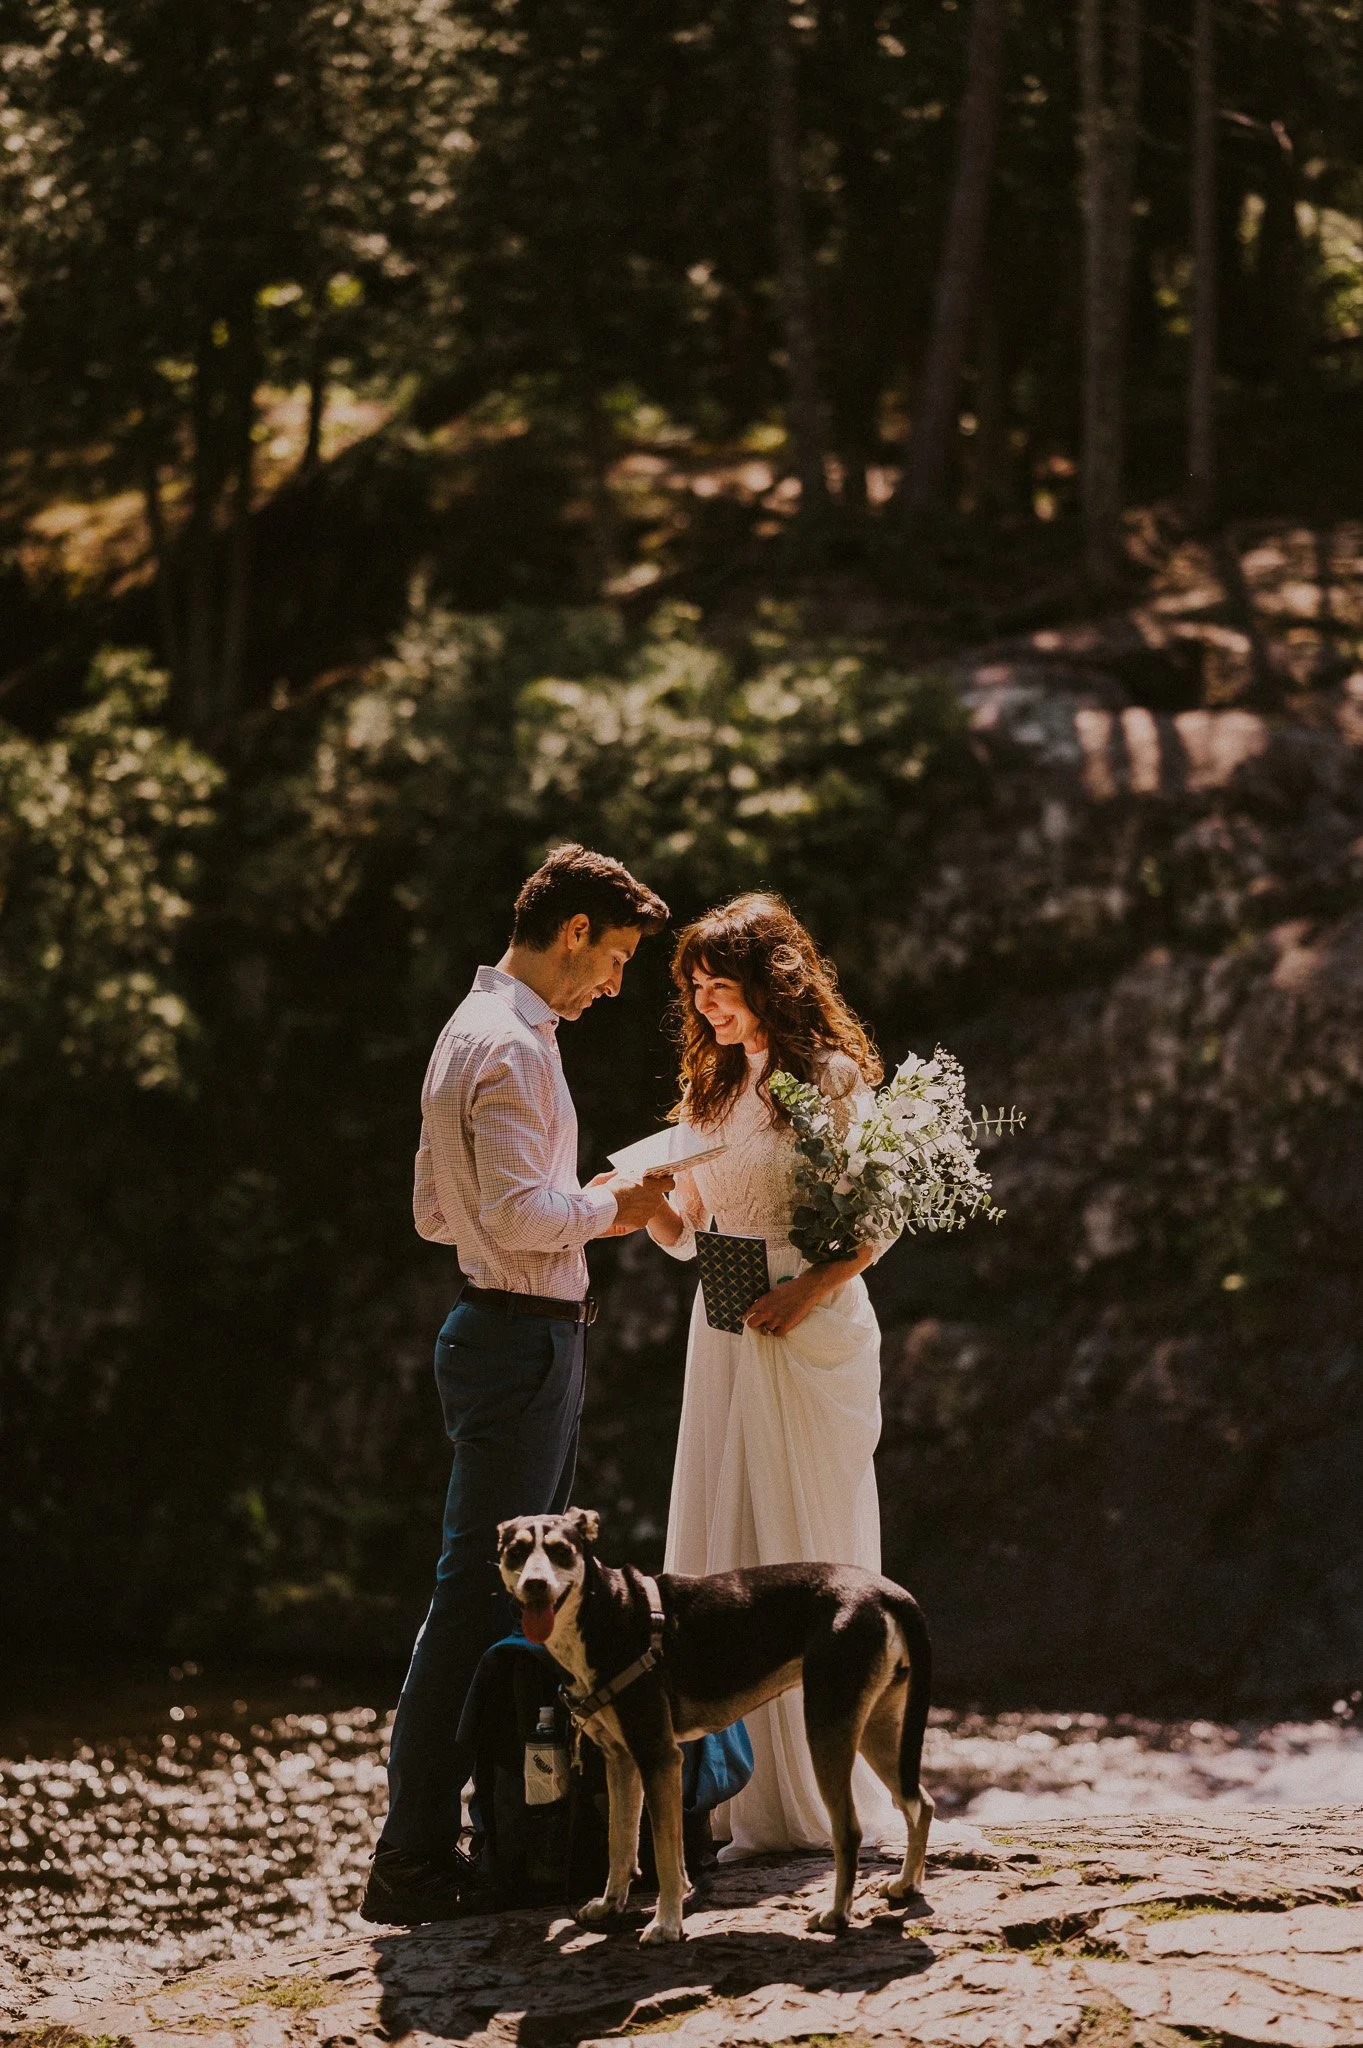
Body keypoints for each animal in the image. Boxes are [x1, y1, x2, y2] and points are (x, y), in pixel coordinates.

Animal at [493, 1515, 929, 1941]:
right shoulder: (622, 1762)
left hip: (827, 1729)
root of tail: (885, 1590)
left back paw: (837, 1914)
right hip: (878, 1729)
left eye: (561, 1551)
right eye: (516, 1552)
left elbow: (665, 1856)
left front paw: (666, 1924)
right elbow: (622, 1842)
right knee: (920, 1803)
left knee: (850, 1831)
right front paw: (610, 1904)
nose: (535, 1584)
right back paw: (906, 1885)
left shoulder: (659, 1757)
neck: (602, 1611)